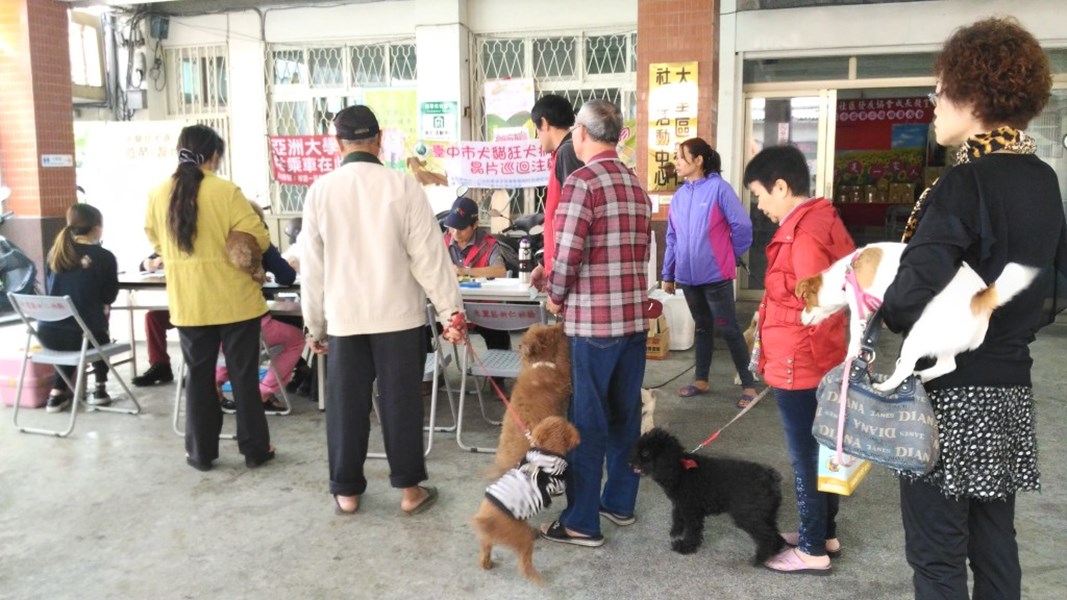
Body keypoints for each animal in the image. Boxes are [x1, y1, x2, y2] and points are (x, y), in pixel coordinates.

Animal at [471, 414, 580, 580]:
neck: (546, 450)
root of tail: (486, 520)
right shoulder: (557, 484)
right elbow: (562, 483)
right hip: (520, 539)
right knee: (525, 564)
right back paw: (537, 577)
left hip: (487, 540)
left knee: (485, 555)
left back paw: (488, 564)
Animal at [798, 240, 1037, 390]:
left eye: (806, 301)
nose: (800, 318)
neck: (847, 271)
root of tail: (981, 298)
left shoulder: (859, 312)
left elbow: (854, 342)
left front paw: (848, 362)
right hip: (942, 340)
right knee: (948, 365)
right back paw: (922, 375)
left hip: (916, 337)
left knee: (905, 367)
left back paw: (884, 386)